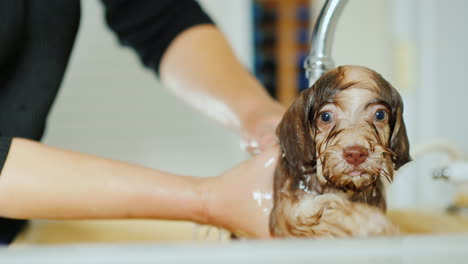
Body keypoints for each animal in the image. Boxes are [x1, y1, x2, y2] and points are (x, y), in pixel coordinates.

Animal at [268, 64, 412, 237]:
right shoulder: (285, 214)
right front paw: (365, 220)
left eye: (380, 114)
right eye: (325, 117)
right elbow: (322, 207)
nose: (356, 154)